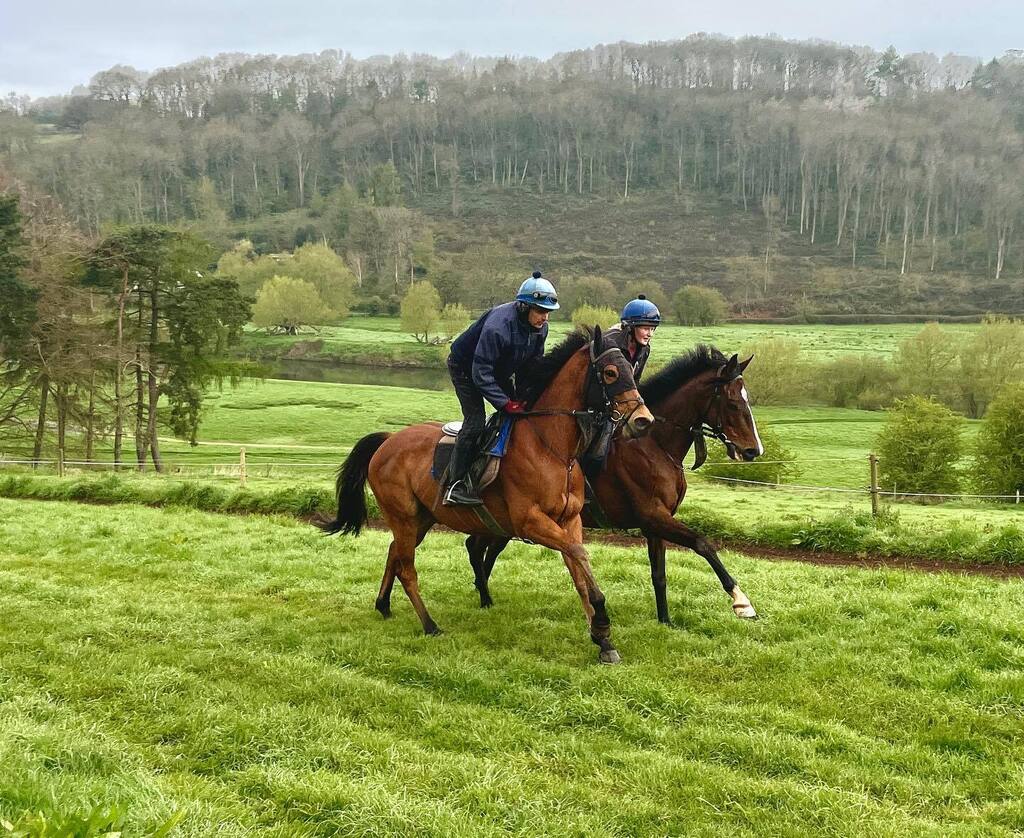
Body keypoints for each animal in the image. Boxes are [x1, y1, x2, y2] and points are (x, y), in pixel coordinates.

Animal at [319, 325, 651, 659]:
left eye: (632, 371)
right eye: (610, 372)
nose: (643, 420)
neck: (553, 449)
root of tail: (388, 440)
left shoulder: (569, 520)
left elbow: (578, 570)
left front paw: (602, 638)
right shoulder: (530, 522)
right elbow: (580, 554)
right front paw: (602, 620)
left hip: (421, 518)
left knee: (394, 554)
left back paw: (383, 604)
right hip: (402, 515)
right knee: (407, 569)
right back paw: (429, 624)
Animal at [468, 342, 765, 622]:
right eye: (733, 403)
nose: (753, 450)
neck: (654, 444)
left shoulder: (655, 523)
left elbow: (659, 575)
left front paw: (665, 621)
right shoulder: (653, 515)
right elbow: (702, 543)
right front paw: (741, 602)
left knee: (481, 548)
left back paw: (483, 595)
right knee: (478, 547)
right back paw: (483, 595)